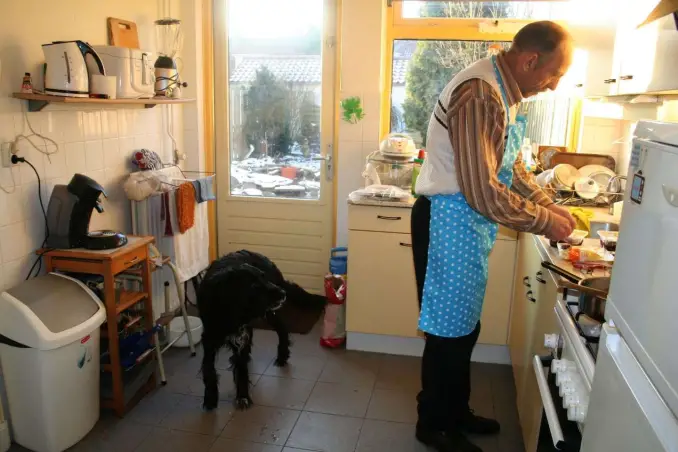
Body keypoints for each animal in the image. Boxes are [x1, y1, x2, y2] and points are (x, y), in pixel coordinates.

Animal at [199, 249, 326, 412]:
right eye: (254, 285)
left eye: (263, 277)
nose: (283, 293)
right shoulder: (209, 339)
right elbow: (209, 369)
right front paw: (210, 398)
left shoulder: (241, 337)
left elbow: (241, 370)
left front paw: (243, 396)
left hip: (269, 313)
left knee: (282, 329)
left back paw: (282, 356)